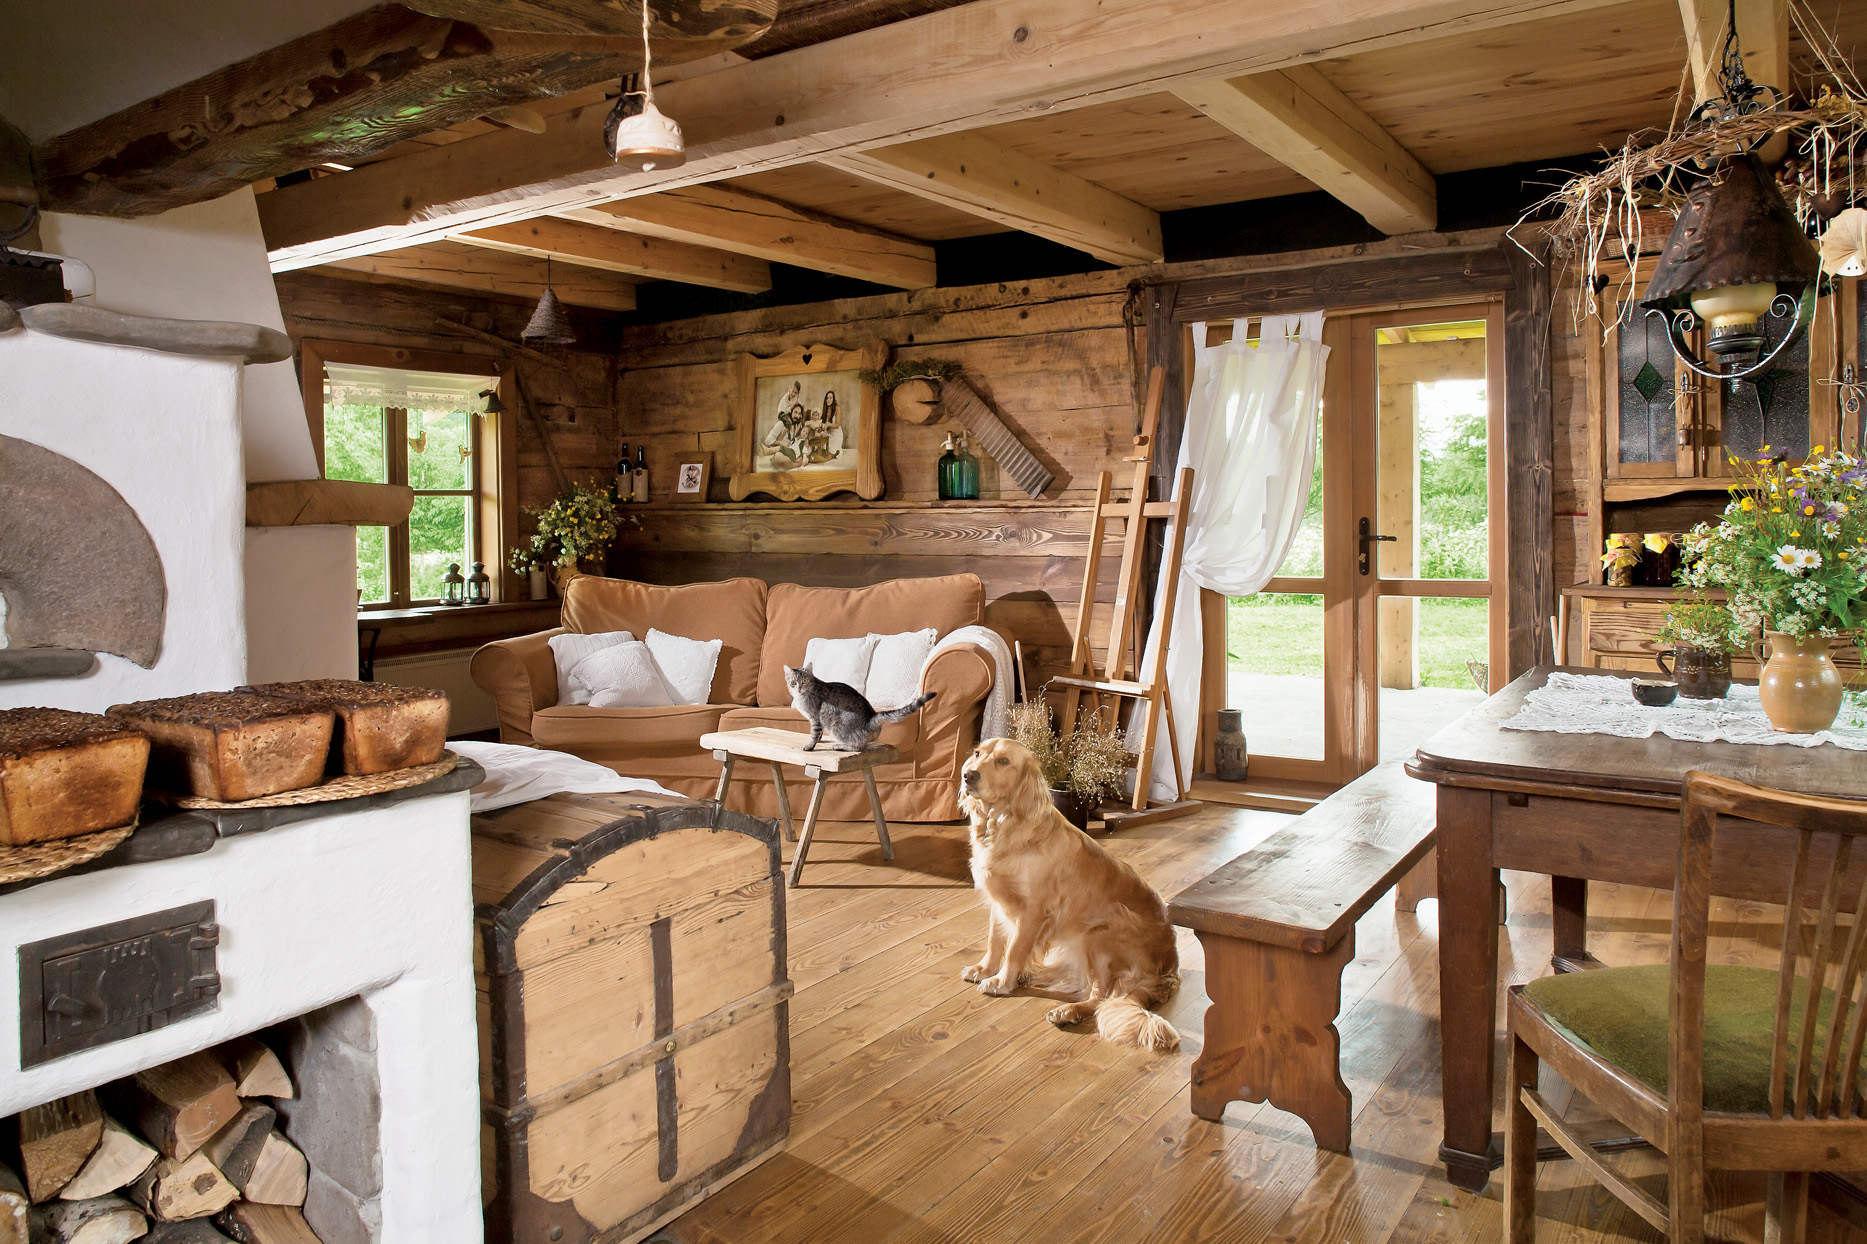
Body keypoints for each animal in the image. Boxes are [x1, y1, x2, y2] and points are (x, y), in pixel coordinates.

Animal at [784, 657, 933, 747]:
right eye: (793, 682)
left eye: (804, 681)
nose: (799, 688)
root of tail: (872, 717)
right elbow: (819, 733)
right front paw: (819, 741)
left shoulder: (815, 717)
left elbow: (814, 733)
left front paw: (810, 746)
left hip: (834, 721)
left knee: (858, 746)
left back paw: (840, 746)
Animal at [963, 735, 1179, 1046]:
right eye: (978, 754)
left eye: (1003, 761)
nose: (968, 775)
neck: (1003, 825)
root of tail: (1169, 968)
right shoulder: (1000, 903)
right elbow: (995, 941)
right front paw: (985, 970)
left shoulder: (1033, 911)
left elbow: (1015, 949)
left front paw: (1001, 982)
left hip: (1100, 934)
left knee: (1101, 996)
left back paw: (1067, 1011)